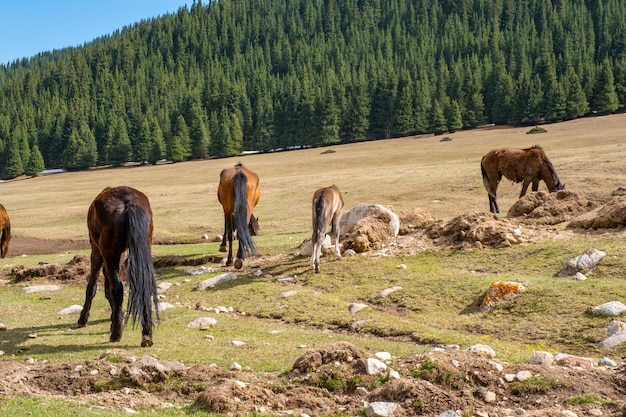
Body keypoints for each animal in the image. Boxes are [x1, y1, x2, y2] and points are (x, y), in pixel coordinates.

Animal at [76, 187, 158, 346]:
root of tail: (128, 201)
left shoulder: (96, 251)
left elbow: (93, 287)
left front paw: (83, 319)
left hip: (109, 252)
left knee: (117, 289)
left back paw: (116, 334)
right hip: (144, 246)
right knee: (144, 284)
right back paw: (147, 335)